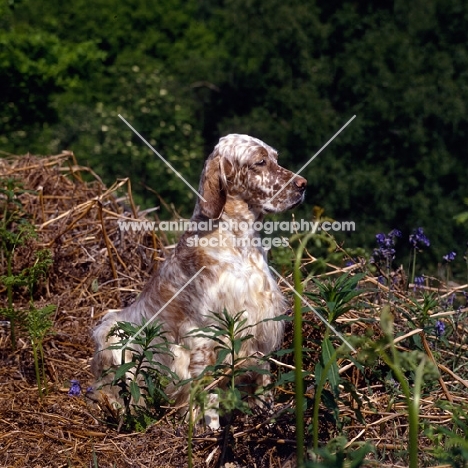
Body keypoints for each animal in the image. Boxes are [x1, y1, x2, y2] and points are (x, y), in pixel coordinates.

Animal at [90, 134, 308, 424]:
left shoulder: (261, 327)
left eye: (275, 158)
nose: (303, 185)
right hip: (112, 335)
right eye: (260, 162)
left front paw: (267, 420)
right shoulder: (203, 335)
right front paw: (211, 430)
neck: (239, 245)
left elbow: (264, 382)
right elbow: (209, 396)